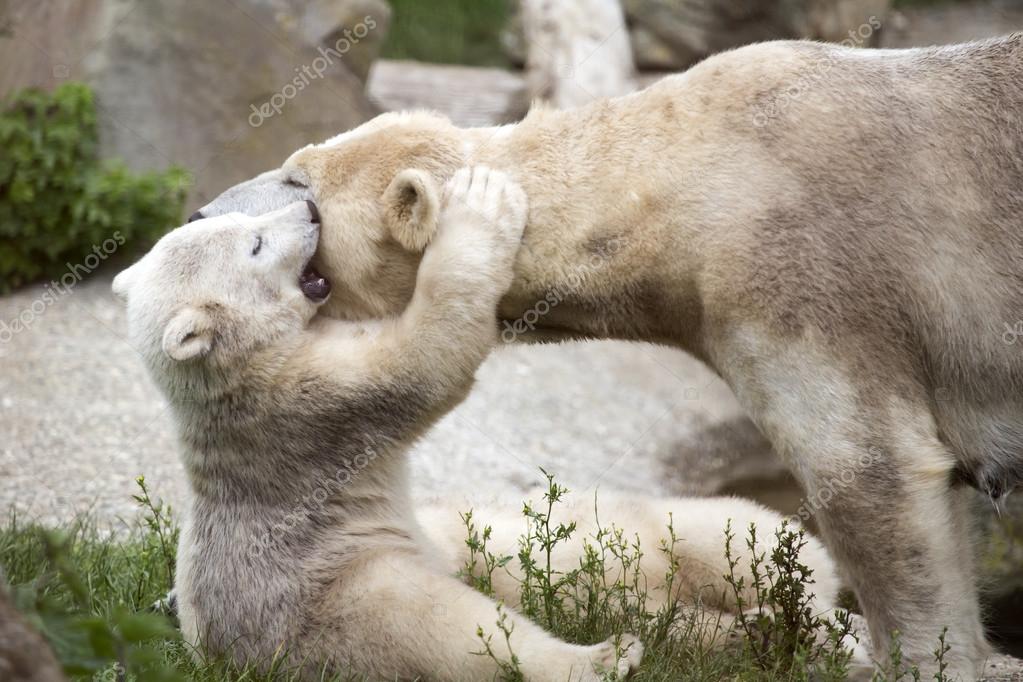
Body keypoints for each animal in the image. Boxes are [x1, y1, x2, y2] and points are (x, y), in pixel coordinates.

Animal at [197, 38, 1023, 678]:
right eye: (295, 160)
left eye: (300, 184)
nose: (199, 210)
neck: (688, 178)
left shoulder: (801, 274)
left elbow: (870, 470)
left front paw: (929, 659)